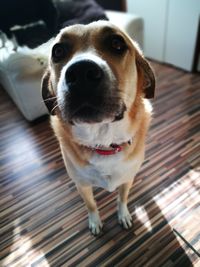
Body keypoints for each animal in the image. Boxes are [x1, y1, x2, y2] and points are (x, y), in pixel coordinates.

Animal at [41, 20, 155, 234]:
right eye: (58, 51)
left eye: (117, 43)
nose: (81, 72)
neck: (103, 141)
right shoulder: (82, 185)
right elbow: (91, 205)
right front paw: (95, 222)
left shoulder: (126, 180)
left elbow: (122, 199)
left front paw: (124, 215)